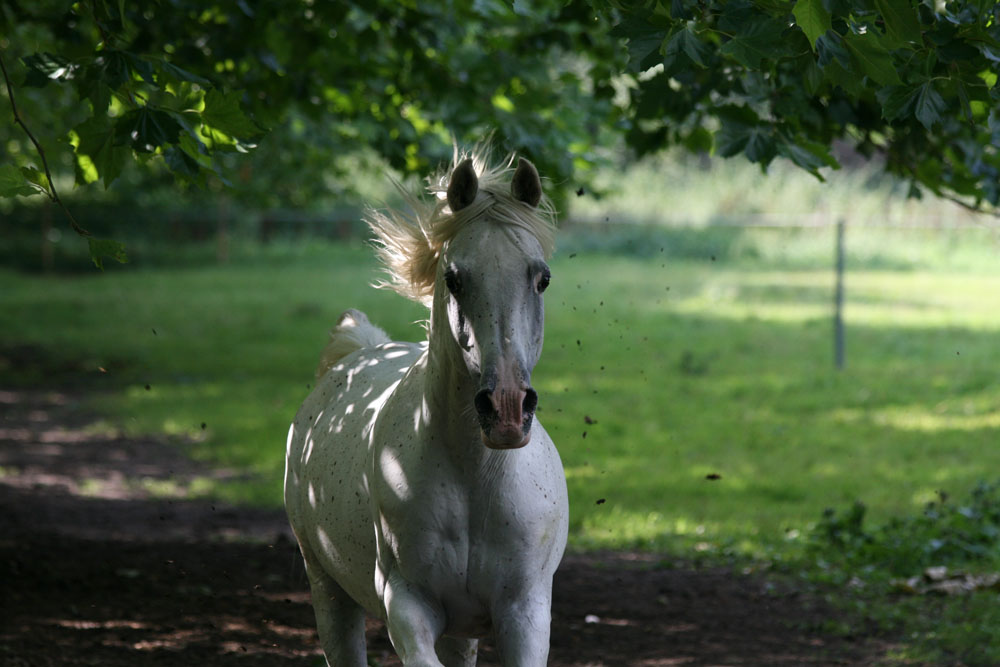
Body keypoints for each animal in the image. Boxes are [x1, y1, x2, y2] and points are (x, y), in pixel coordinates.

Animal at [286, 151, 572, 667]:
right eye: (453, 278)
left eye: (541, 278)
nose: (506, 410)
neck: (475, 478)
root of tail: (358, 352)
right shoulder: (407, 606)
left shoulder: (525, 613)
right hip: (328, 592)